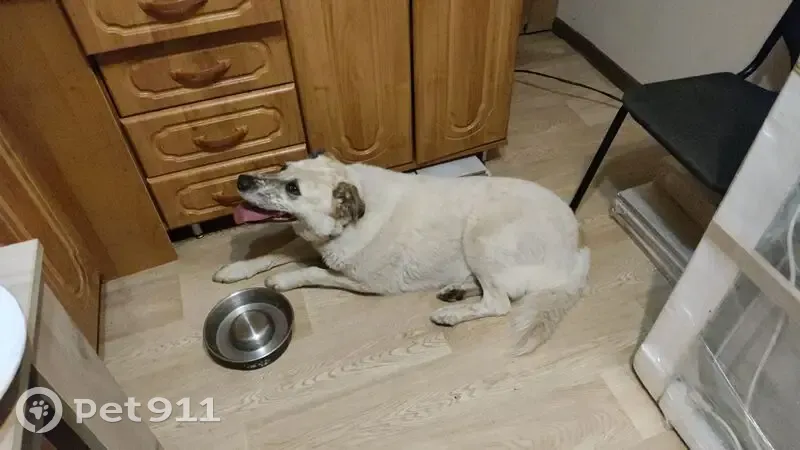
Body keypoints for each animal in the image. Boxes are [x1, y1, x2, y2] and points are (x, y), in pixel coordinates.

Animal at [212, 152, 590, 354]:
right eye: (282, 168)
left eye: (293, 189)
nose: (241, 180)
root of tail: (577, 255)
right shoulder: (308, 240)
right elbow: (273, 252)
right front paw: (236, 269)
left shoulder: (362, 282)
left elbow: (312, 271)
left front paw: (283, 279)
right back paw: (455, 291)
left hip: (481, 235)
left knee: (499, 303)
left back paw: (450, 314)